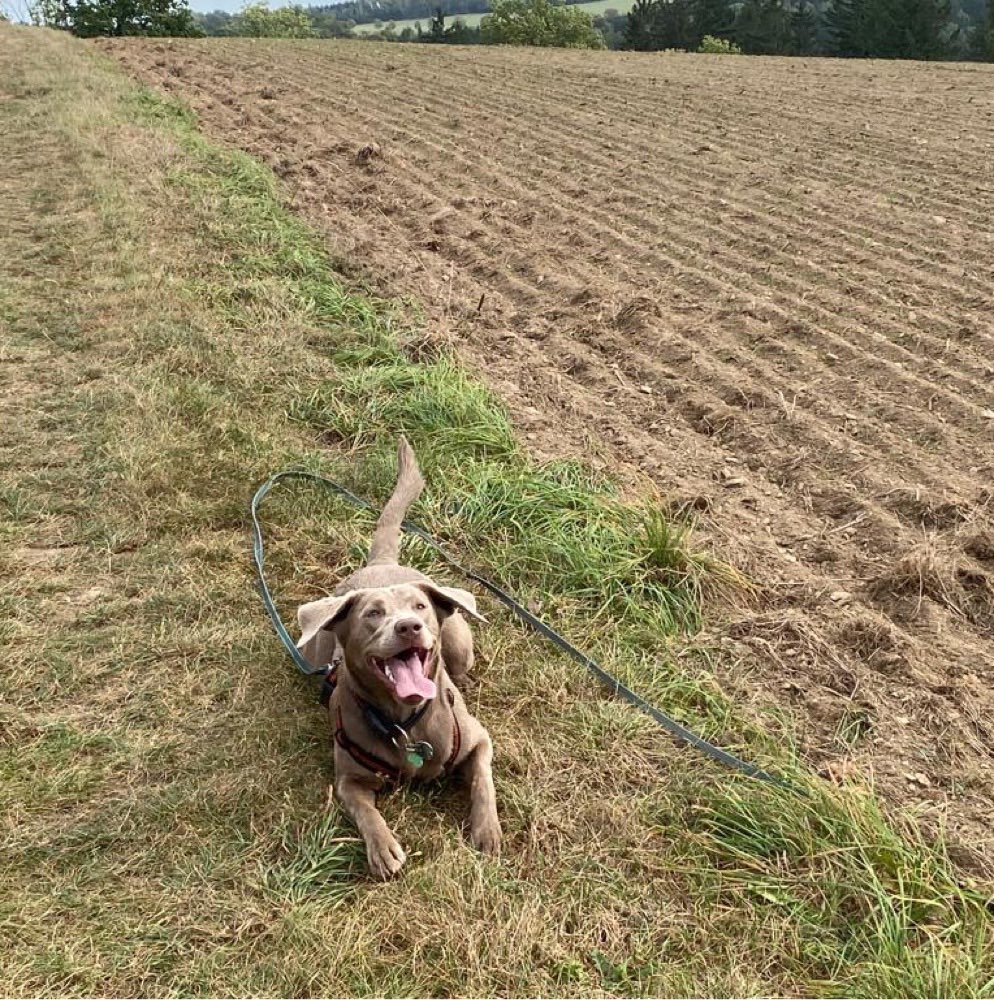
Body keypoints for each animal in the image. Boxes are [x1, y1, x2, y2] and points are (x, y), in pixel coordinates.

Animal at [292, 438, 496, 876]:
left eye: (419, 607)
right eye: (372, 614)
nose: (408, 626)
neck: (405, 722)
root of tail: (382, 563)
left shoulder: (479, 740)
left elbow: (482, 782)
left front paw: (487, 831)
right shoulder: (348, 779)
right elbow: (365, 812)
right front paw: (382, 848)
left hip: (460, 642)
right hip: (314, 643)